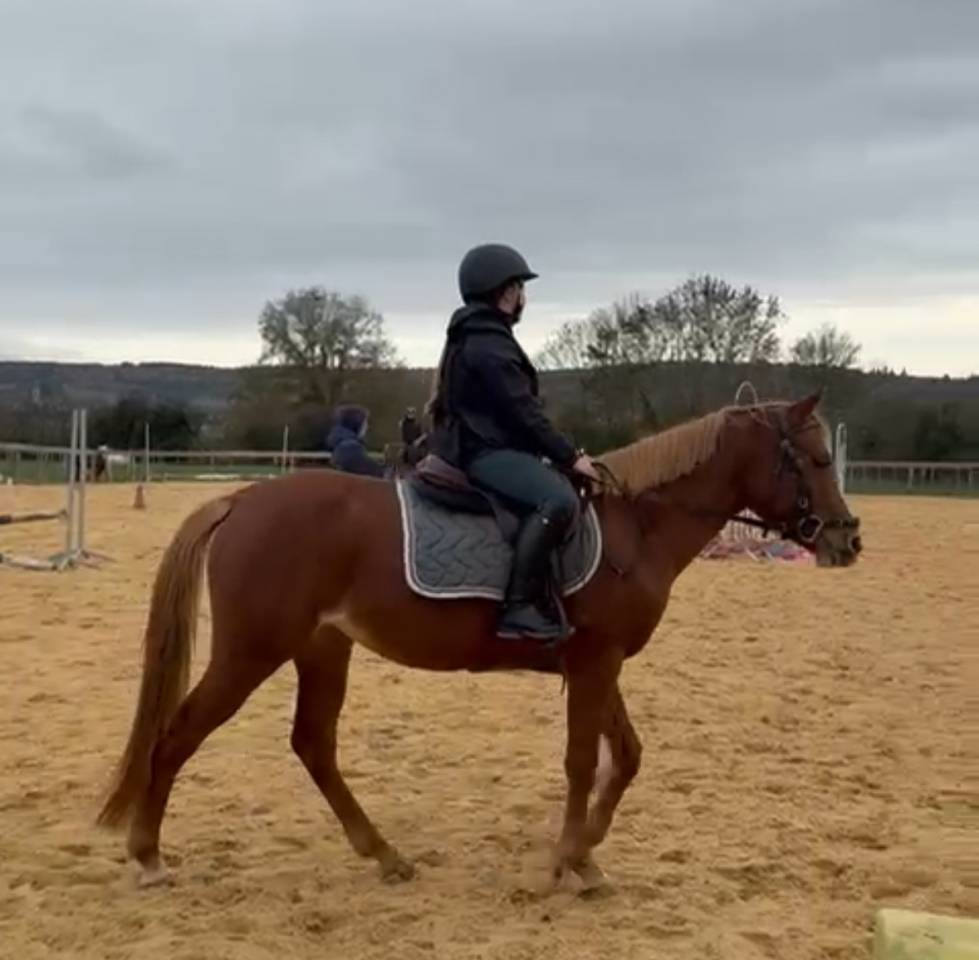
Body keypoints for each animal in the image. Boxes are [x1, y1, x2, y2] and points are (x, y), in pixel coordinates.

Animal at [96, 394, 861, 889]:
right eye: (817, 458)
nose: (848, 539)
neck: (636, 527)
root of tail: (240, 498)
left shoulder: (598, 662)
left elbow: (627, 756)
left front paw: (588, 853)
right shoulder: (595, 663)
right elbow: (581, 760)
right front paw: (565, 862)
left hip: (322, 649)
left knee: (313, 745)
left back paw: (384, 855)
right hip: (251, 653)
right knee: (177, 737)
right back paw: (148, 855)